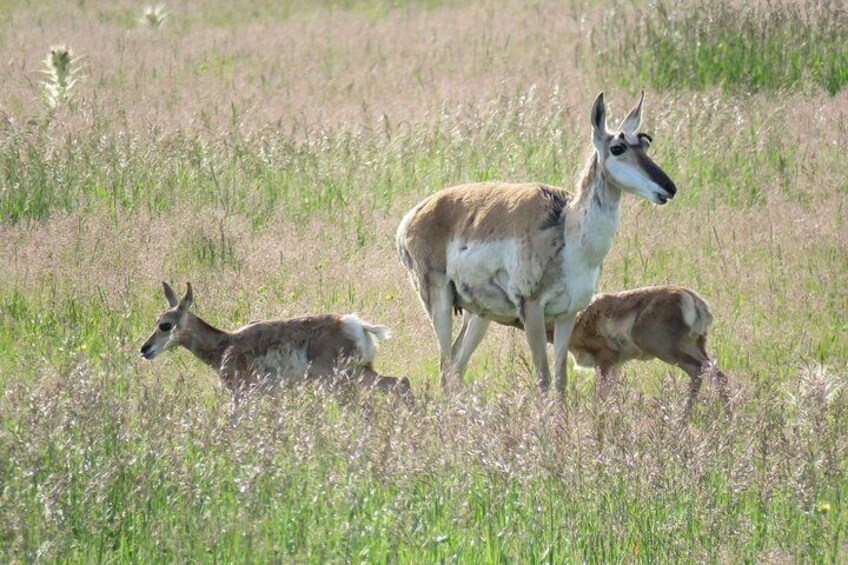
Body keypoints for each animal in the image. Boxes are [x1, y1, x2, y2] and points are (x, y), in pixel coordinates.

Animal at [141, 282, 412, 410]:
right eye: (155, 320)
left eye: (165, 325)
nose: (144, 349)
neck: (226, 344)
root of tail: (355, 323)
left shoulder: (240, 394)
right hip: (361, 373)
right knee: (401, 382)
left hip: (342, 382)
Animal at [394, 91, 680, 392]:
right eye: (617, 148)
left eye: (645, 144)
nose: (669, 188)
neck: (568, 229)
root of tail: (414, 214)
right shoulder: (532, 310)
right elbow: (543, 378)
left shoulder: (568, 314)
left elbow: (561, 380)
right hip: (439, 302)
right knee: (445, 366)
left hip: (479, 314)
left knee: (456, 367)